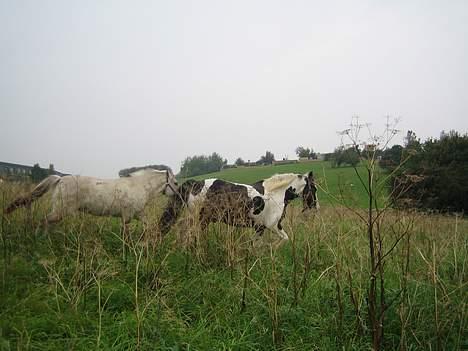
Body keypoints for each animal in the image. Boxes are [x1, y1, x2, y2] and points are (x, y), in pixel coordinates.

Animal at [158, 172, 318, 243]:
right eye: (314, 189)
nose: (316, 207)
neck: (276, 193)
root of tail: (195, 183)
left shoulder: (260, 228)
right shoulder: (273, 226)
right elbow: (284, 239)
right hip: (200, 219)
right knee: (187, 232)